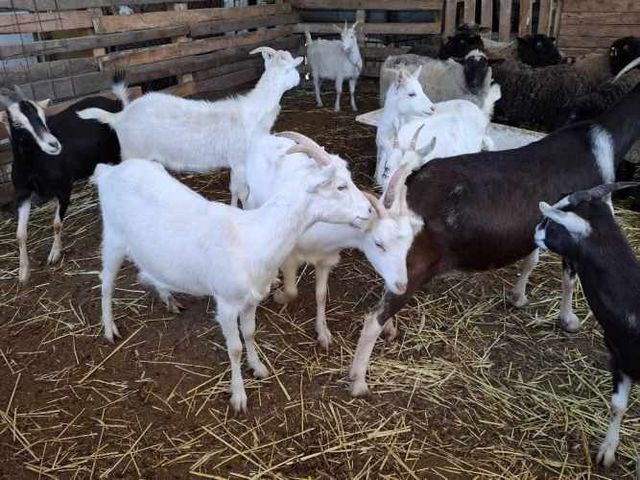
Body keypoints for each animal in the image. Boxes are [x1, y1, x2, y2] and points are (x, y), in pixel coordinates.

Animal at [3, 74, 127, 284]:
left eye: (43, 117)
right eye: (17, 124)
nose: (54, 145)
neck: (35, 163)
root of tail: (115, 102)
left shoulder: (64, 188)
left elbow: (56, 224)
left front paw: (54, 254)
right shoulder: (22, 193)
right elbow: (20, 234)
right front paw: (23, 271)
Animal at [79, 47, 303, 208]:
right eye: (292, 68)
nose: (300, 79)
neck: (255, 111)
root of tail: (119, 117)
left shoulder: (234, 163)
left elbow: (233, 190)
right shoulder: (240, 161)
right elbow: (243, 192)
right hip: (132, 154)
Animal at [93, 140, 372, 412]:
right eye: (341, 186)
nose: (370, 210)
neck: (252, 237)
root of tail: (108, 172)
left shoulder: (251, 299)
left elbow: (249, 333)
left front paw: (258, 367)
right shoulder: (226, 303)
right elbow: (235, 348)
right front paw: (238, 396)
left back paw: (168, 298)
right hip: (113, 237)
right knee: (106, 282)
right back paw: (109, 329)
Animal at [245, 132, 428, 348]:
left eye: (408, 247)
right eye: (379, 243)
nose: (401, 286)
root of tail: (268, 137)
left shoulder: (326, 259)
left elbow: (321, 295)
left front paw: (323, 333)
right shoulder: (290, 256)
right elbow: (292, 291)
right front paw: (279, 296)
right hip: (250, 200)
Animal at [348, 81, 640, 397]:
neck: (602, 142)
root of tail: (407, 185)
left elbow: (531, 260)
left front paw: (519, 296)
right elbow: (568, 279)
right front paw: (569, 321)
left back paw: (389, 331)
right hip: (418, 264)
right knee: (372, 319)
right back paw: (359, 381)